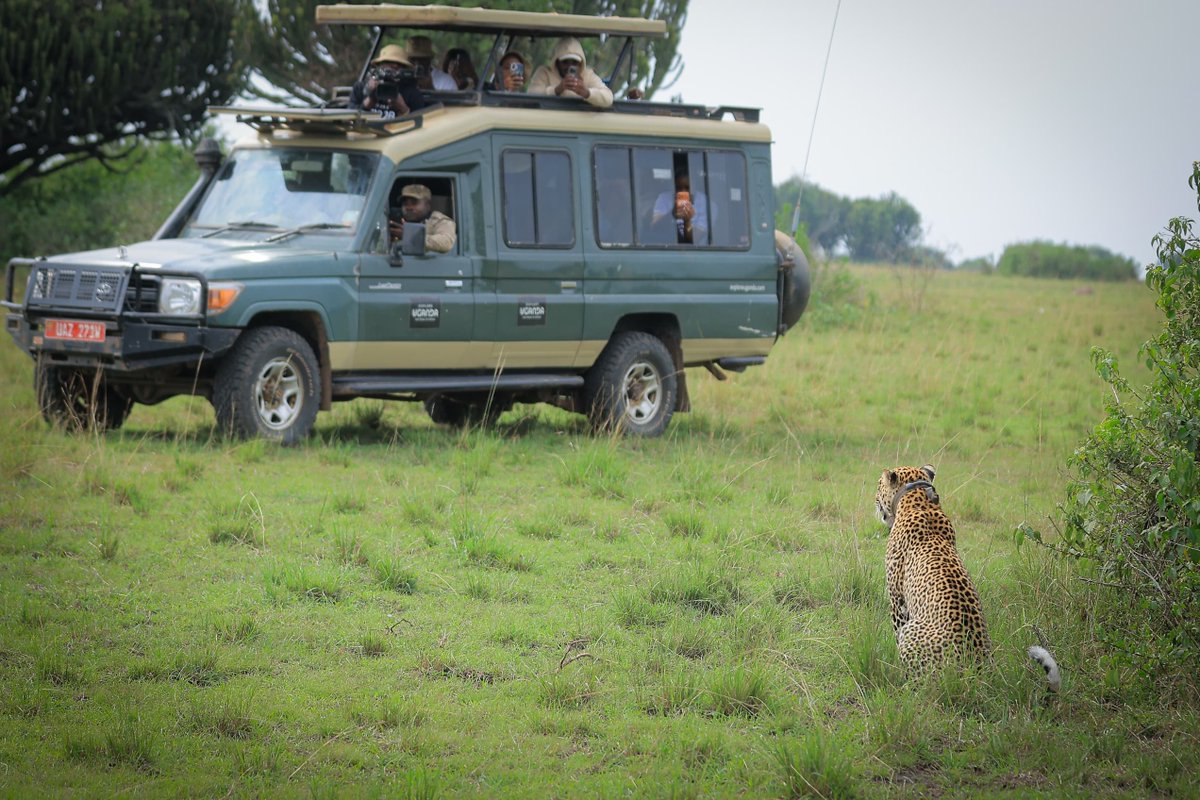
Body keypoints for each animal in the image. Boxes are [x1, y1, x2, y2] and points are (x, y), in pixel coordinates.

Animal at [875, 464, 1060, 691]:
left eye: (879, 485)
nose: (875, 500)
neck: (917, 498)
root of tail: (980, 674)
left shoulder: (897, 599)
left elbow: (896, 631)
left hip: (913, 632)